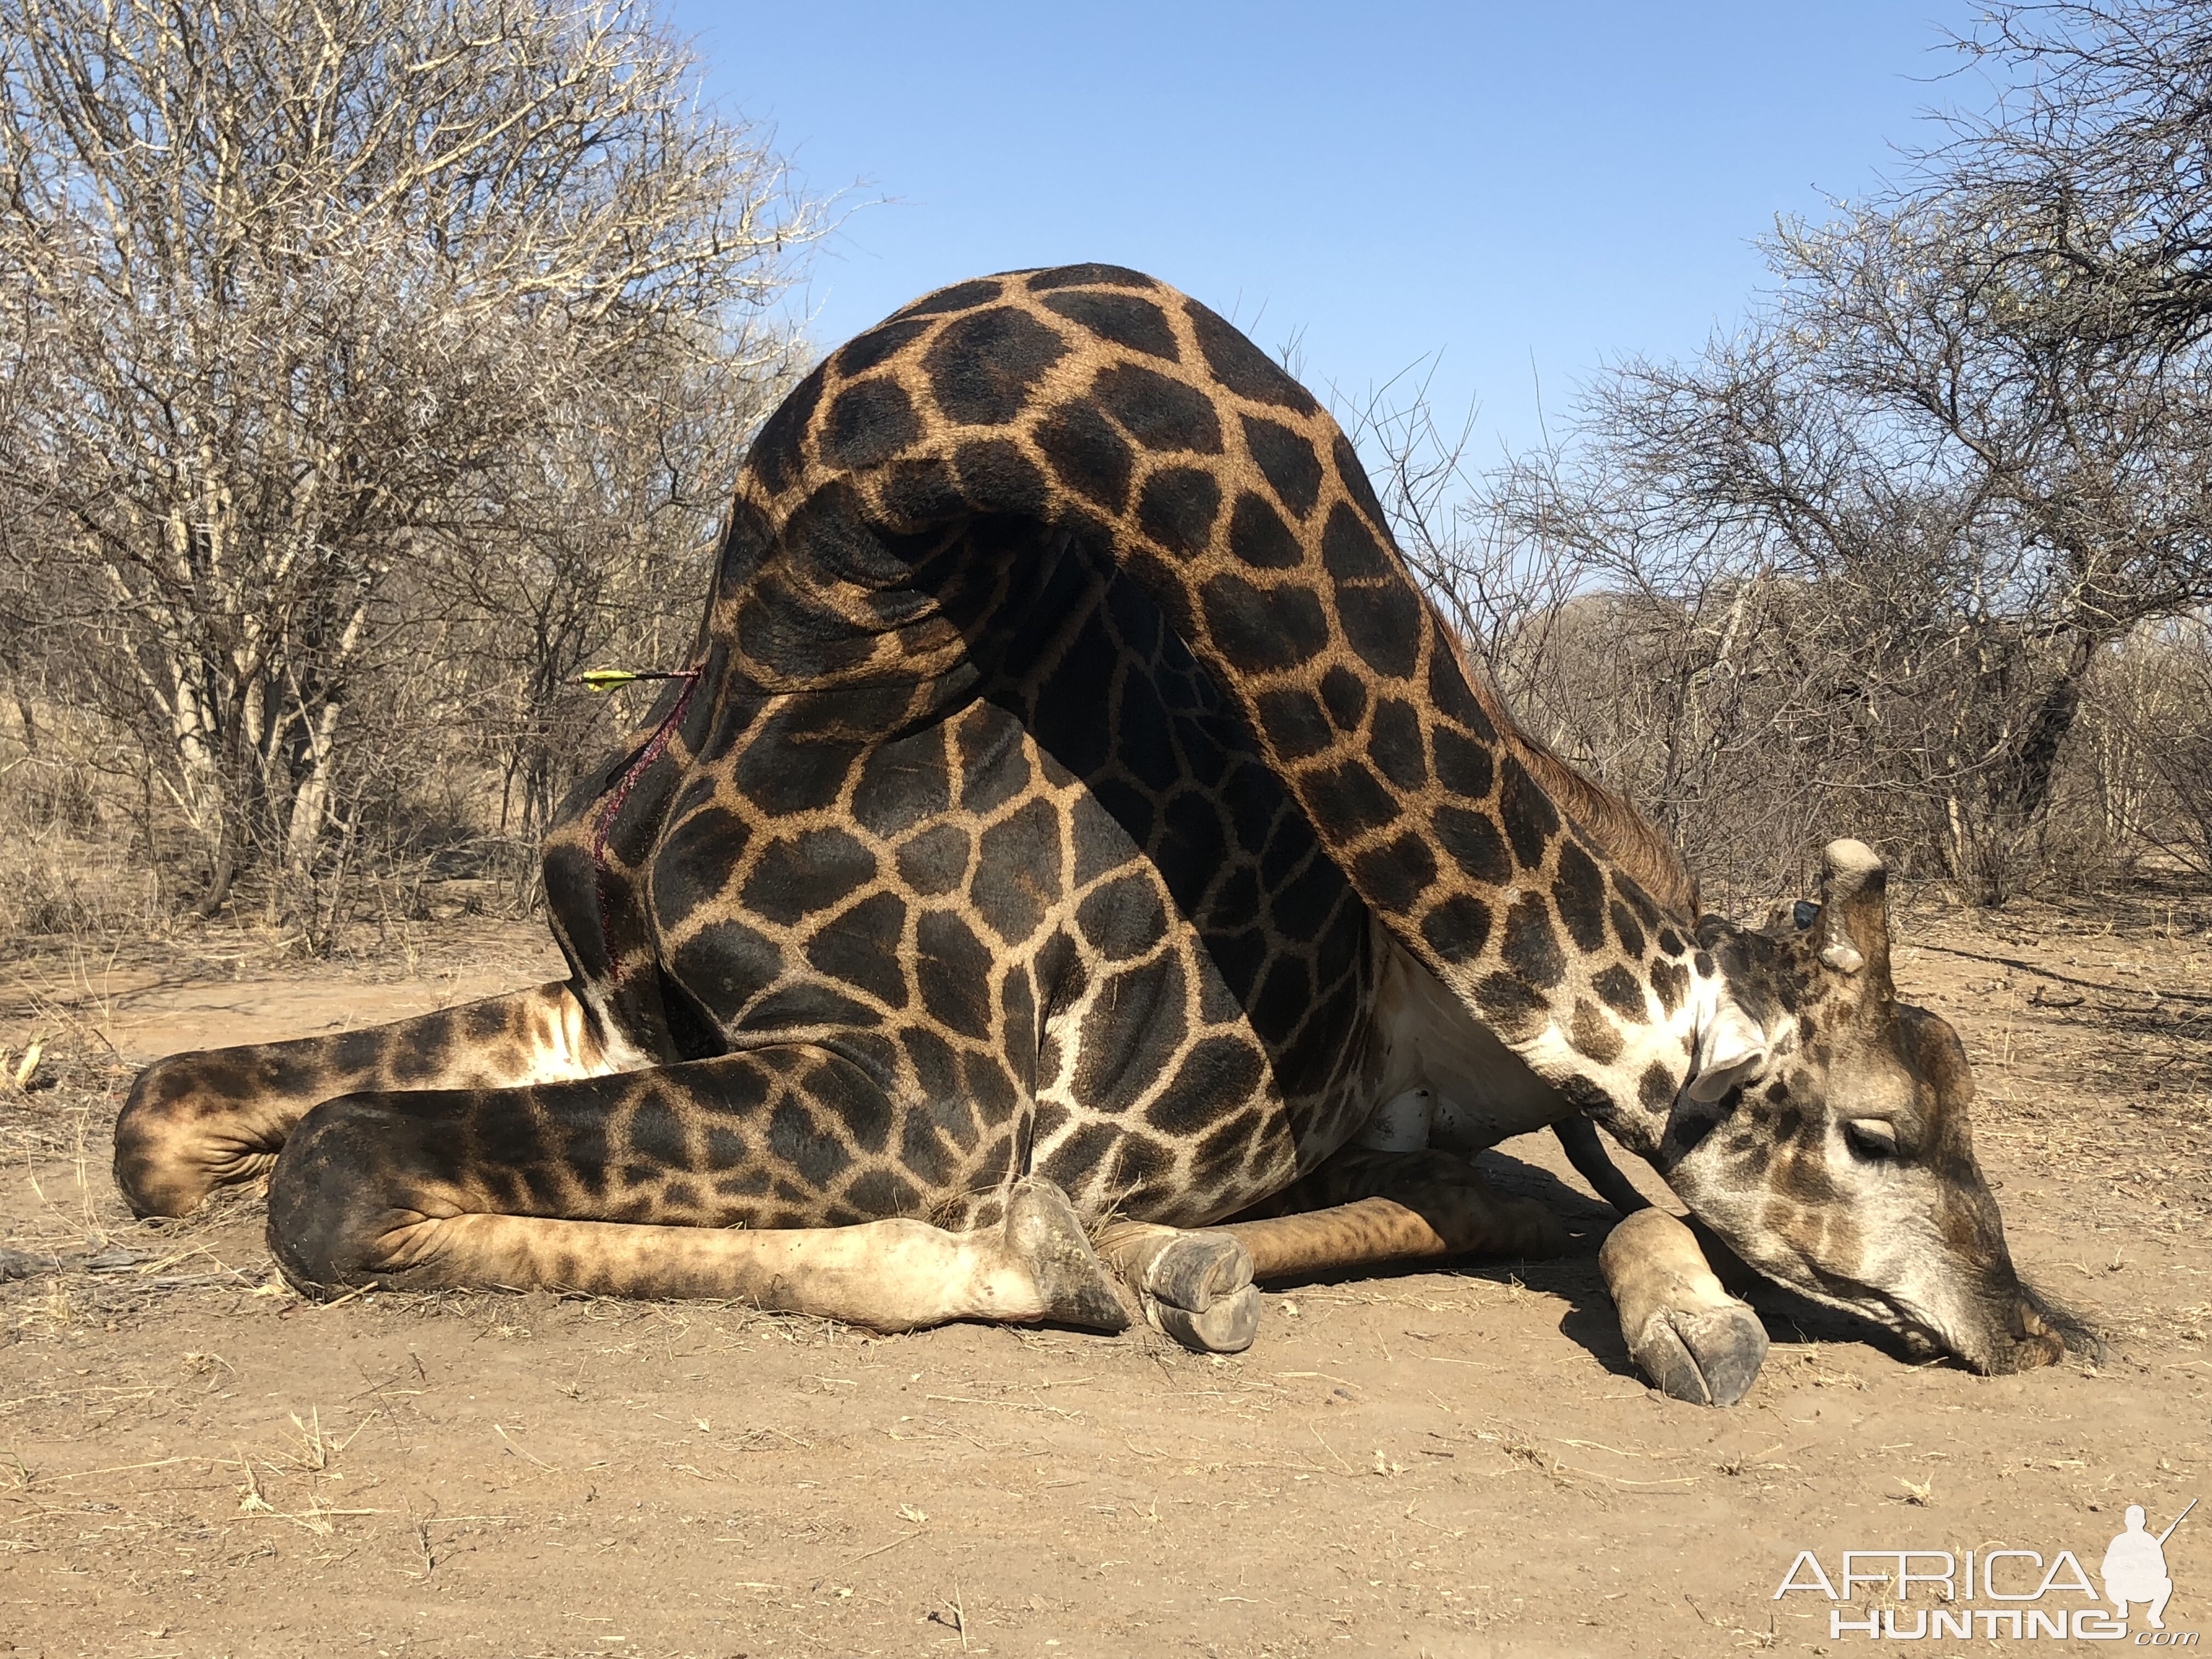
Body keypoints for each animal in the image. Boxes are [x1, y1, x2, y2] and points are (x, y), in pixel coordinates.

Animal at [116, 269, 2088, 1389]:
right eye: (1884, 1129)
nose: (2032, 1327)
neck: (826, 607)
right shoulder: (614, 1006)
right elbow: (179, 1123)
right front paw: (1069, 1249)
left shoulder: (910, 1086)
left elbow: (335, 1174)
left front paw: (1034, 1249)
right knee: (1478, 1186)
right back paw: (1186, 1261)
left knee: (1553, 1187)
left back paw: (1678, 1324)